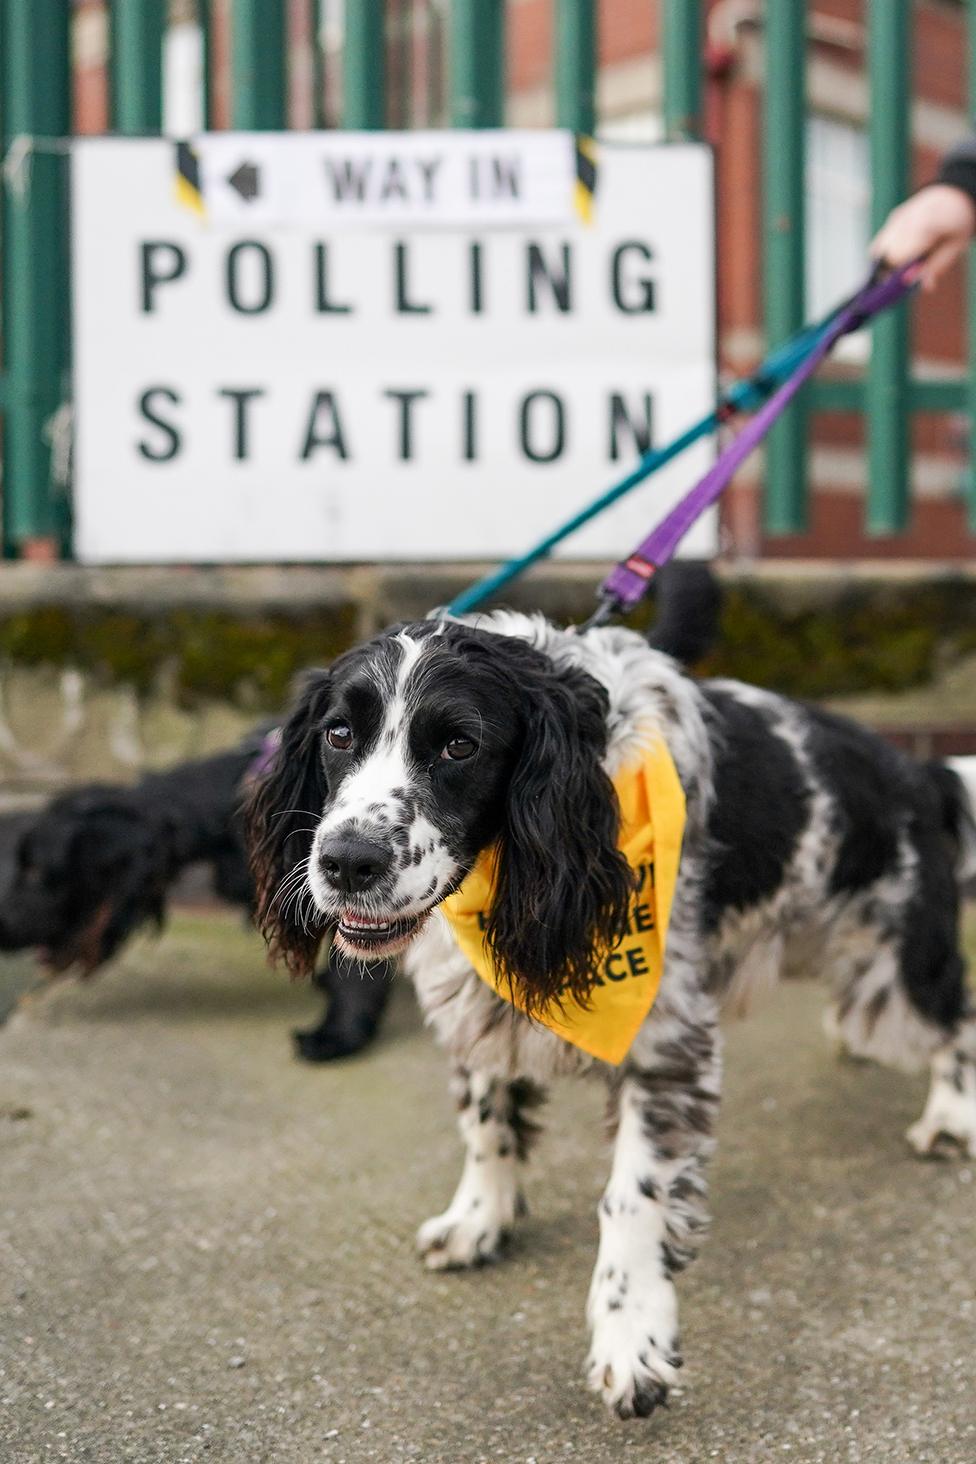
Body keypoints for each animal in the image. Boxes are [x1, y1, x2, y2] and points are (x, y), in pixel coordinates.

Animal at [245, 600, 976, 1423]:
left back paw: (952, 1117)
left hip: (900, 975)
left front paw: (633, 1343)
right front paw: (478, 1221)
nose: (346, 862)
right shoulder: (478, 1007)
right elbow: (486, 1121)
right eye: (339, 734)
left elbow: (632, 1199)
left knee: (956, 1016)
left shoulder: (664, 1045)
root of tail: (920, 773)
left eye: (460, 744)